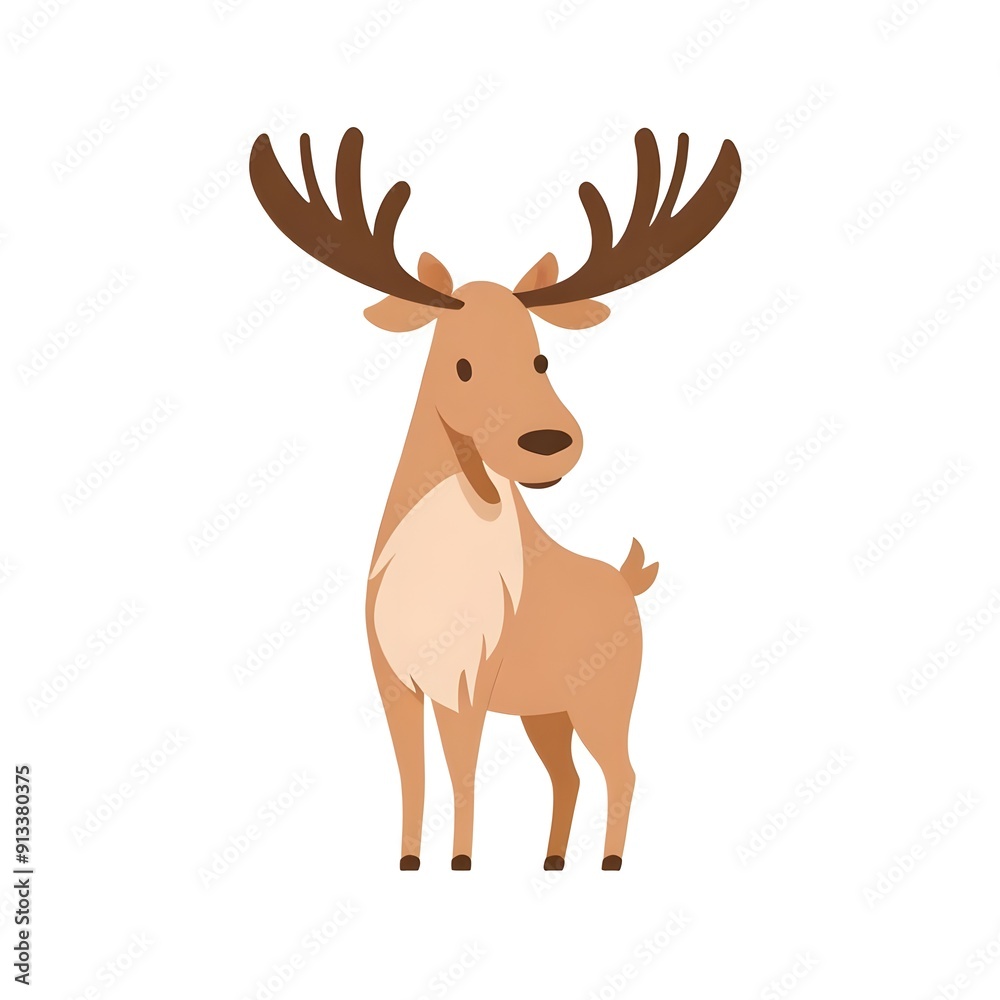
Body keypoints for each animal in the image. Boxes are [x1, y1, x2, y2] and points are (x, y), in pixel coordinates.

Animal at [249, 125, 740, 871]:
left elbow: (462, 770)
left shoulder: (471, 679)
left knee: (621, 769)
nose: (550, 442)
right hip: (546, 709)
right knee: (568, 775)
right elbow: (413, 774)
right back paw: (553, 859)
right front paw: (409, 861)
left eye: (541, 358)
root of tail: (631, 579)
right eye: (461, 364)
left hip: (604, 697)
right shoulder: (392, 679)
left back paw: (608, 862)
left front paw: (460, 862)